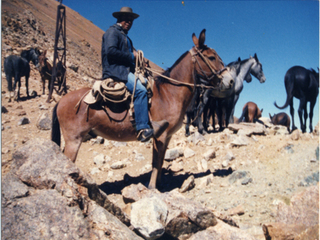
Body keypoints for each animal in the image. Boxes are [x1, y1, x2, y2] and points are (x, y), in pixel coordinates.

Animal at [51, 29, 228, 188]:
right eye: (211, 57)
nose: (230, 80)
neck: (169, 94)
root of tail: (61, 101)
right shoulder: (160, 135)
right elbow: (156, 162)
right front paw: (152, 188)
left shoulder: (168, 136)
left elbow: (161, 161)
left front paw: (160, 184)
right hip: (74, 140)